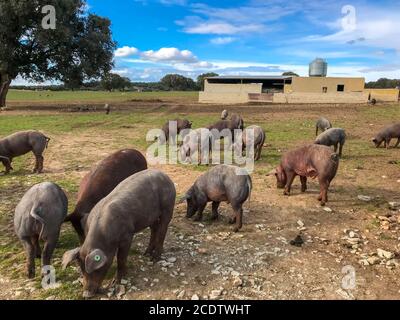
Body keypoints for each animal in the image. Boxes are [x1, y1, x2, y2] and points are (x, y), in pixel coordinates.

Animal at [62, 169, 175, 298]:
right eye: (81, 269)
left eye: (97, 269)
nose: (86, 294)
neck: (104, 236)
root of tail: (165, 175)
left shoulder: (127, 235)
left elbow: (121, 258)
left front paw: (115, 282)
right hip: (150, 216)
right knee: (154, 228)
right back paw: (146, 254)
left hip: (168, 204)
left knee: (163, 228)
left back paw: (154, 258)